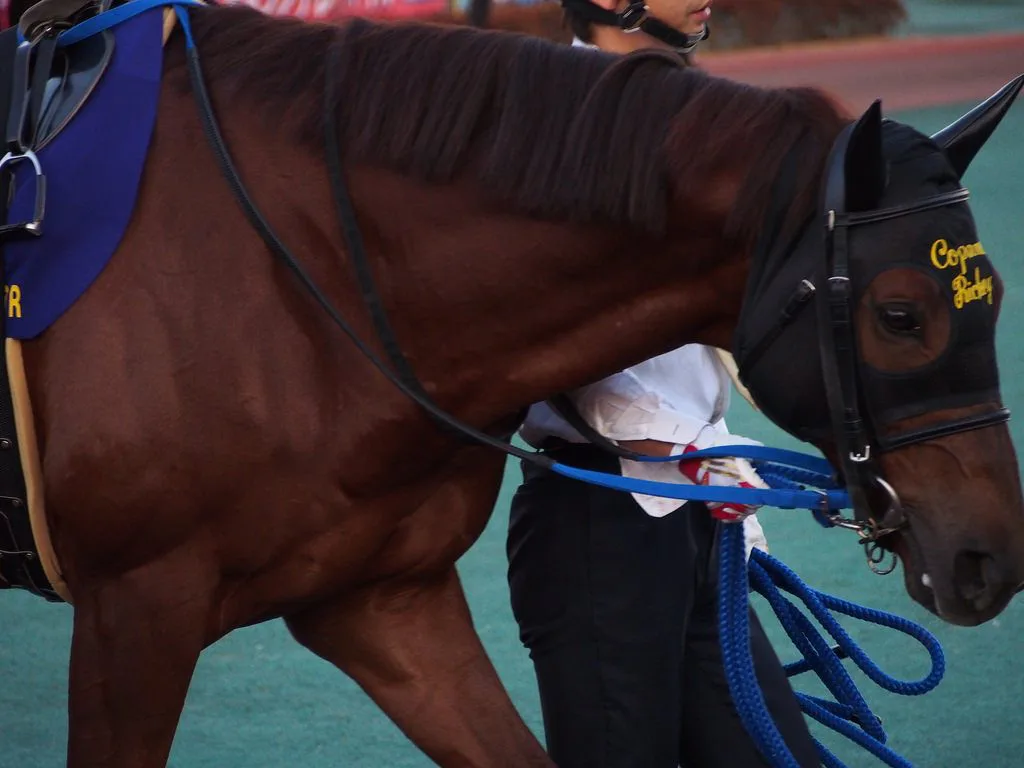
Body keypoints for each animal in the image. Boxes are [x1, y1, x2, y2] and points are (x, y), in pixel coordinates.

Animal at [2, 2, 1023, 765]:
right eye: (902, 315)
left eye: (996, 295)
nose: (990, 558)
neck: (291, 272)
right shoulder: (137, 611)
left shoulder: (377, 597)